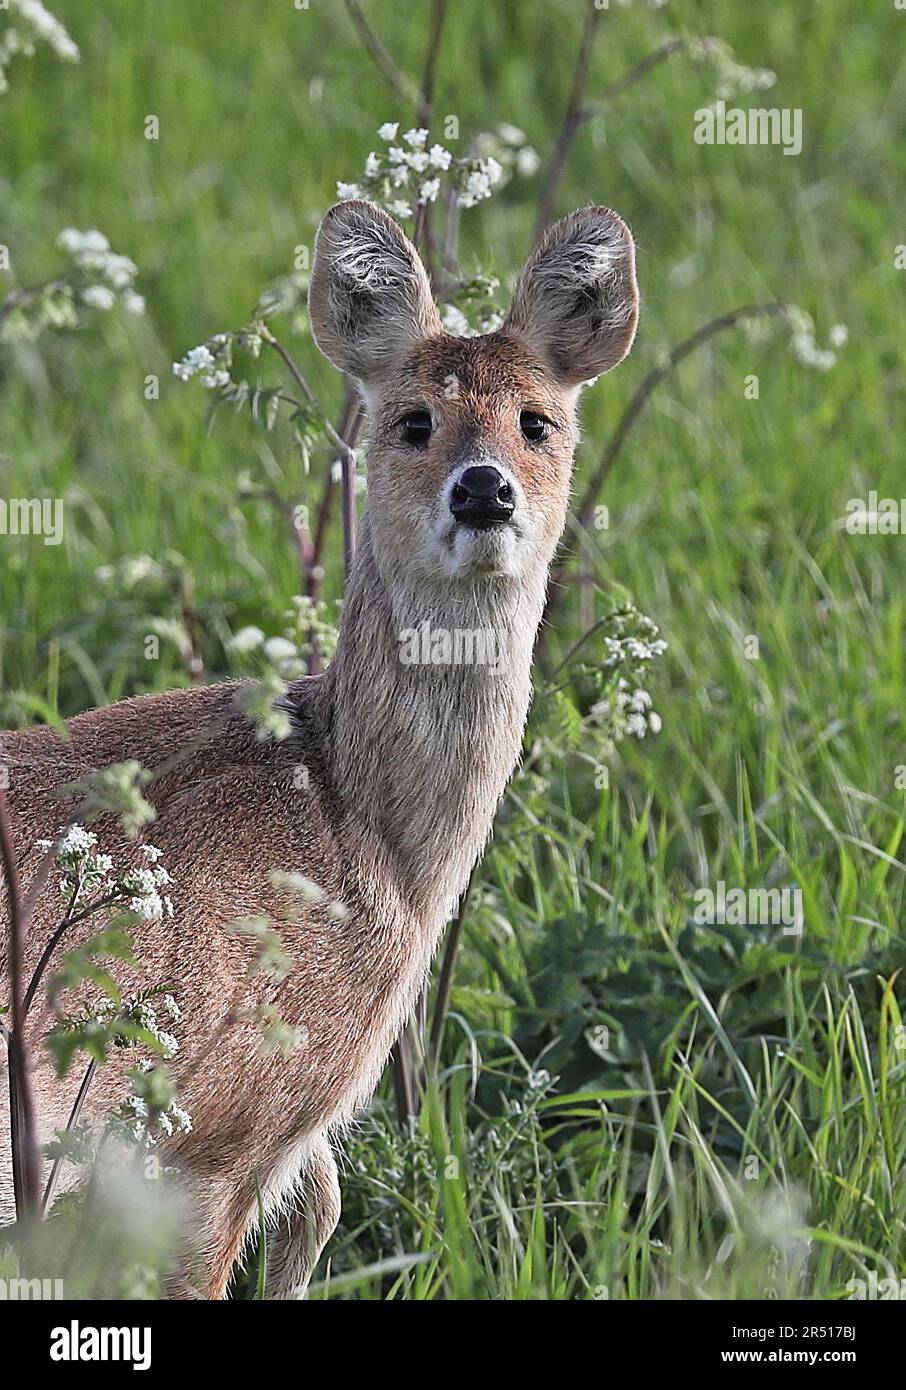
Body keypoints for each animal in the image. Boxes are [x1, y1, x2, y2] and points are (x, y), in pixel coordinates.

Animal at [0, 201, 636, 1295]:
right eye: (413, 420)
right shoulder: (209, 1128)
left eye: (538, 421)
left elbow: (321, 1210)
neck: (356, 828)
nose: (483, 491)